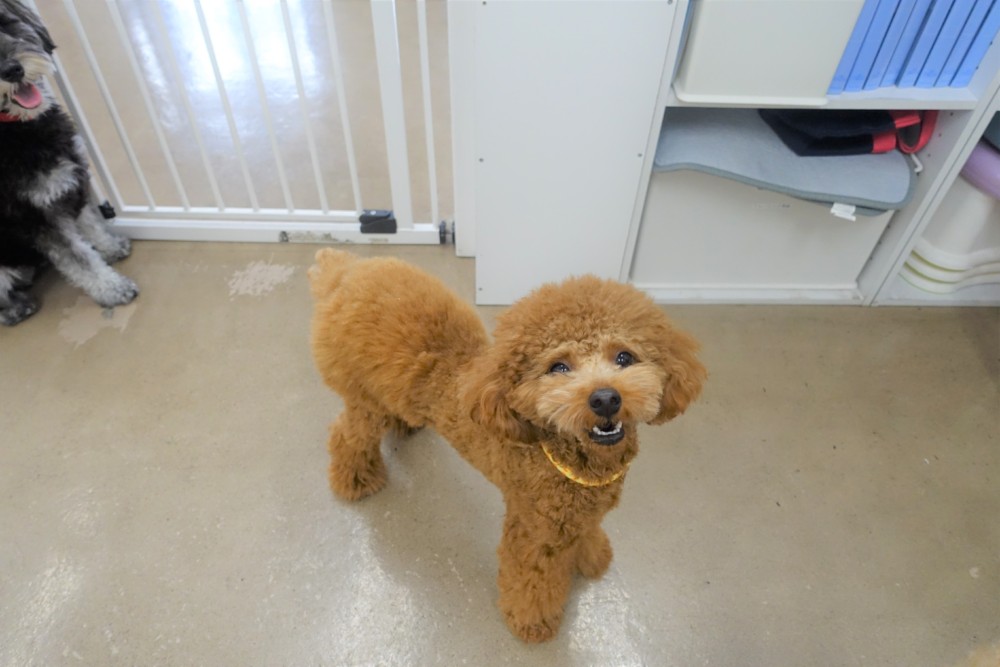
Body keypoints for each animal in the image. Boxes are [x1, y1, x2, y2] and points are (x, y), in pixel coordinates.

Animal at [0, 0, 137, 326]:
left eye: (5, 22)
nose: (12, 70)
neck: (19, 128)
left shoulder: (69, 182)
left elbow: (88, 223)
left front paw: (110, 247)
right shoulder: (35, 218)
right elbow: (78, 258)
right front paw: (112, 288)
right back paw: (14, 309)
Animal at [309, 249, 706, 642]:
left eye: (624, 357)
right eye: (558, 367)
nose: (605, 398)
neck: (574, 460)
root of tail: (345, 269)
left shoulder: (581, 514)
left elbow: (585, 535)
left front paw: (590, 555)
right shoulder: (534, 532)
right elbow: (533, 582)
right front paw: (533, 621)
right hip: (363, 399)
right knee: (346, 434)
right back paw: (355, 480)